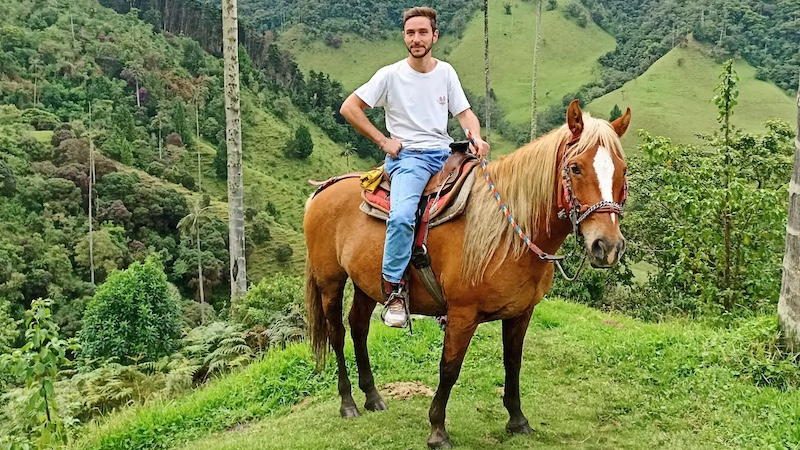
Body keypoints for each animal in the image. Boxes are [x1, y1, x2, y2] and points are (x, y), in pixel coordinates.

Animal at [304, 100, 628, 448]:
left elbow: (513, 362)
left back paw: (372, 396)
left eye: (623, 170)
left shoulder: (521, 312)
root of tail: (325, 188)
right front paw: (437, 430)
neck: (508, 233)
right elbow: (449, 368)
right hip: (330, 280)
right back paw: (348, 402)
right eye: (576, 168)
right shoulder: (461, 314)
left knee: (359, 327)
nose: (607, 246)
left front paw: (517, 419)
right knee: (337, 332)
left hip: (368, 283)